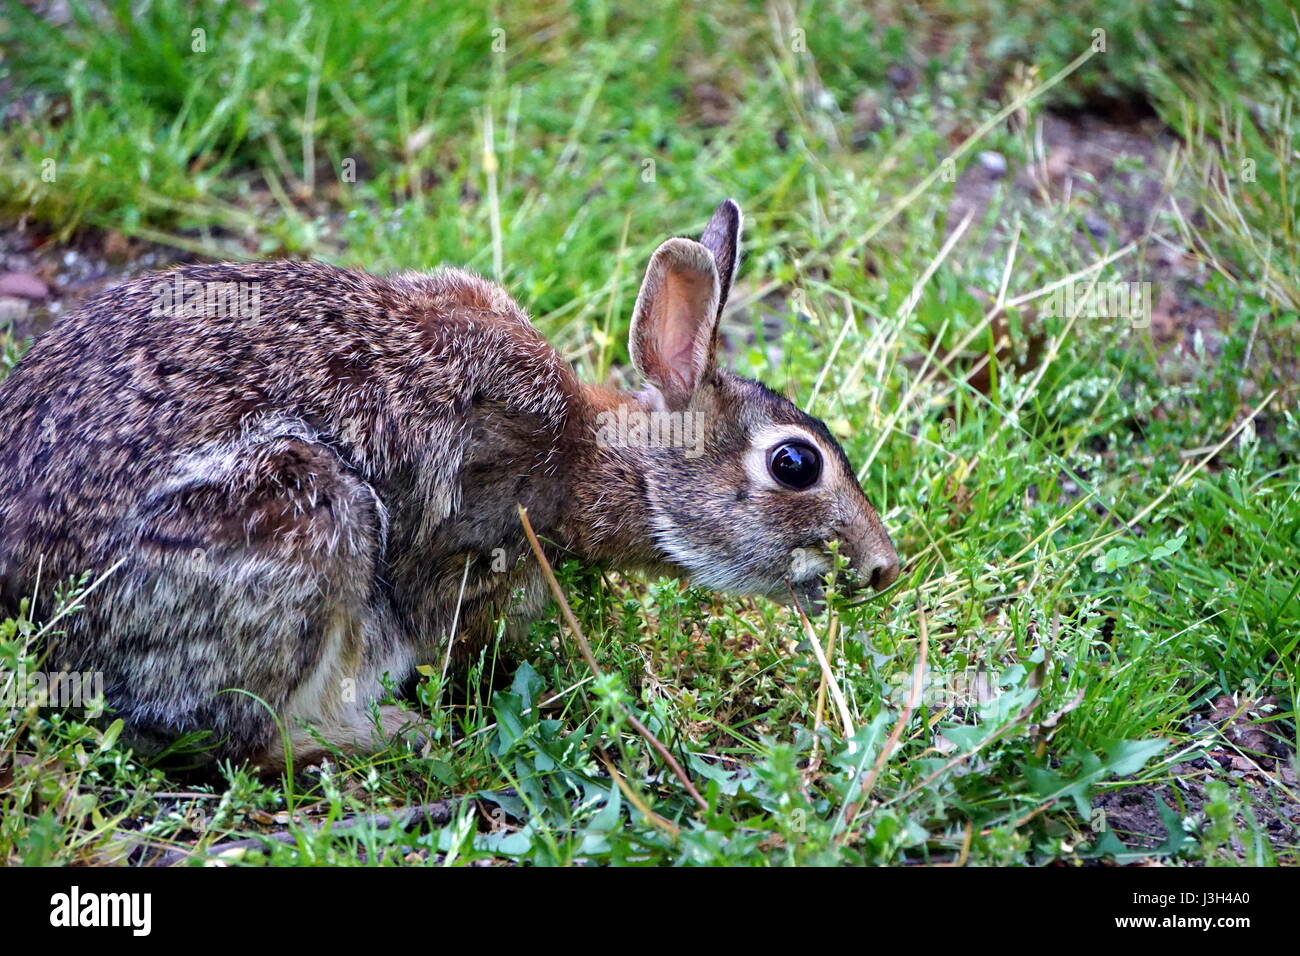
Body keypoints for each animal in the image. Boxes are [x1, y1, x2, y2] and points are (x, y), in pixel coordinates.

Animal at [0, 199, 899, 767]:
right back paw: (390, 735)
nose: (883, 566)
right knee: (230, 736)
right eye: (794, 464)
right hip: (297, 519)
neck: (596, 457)